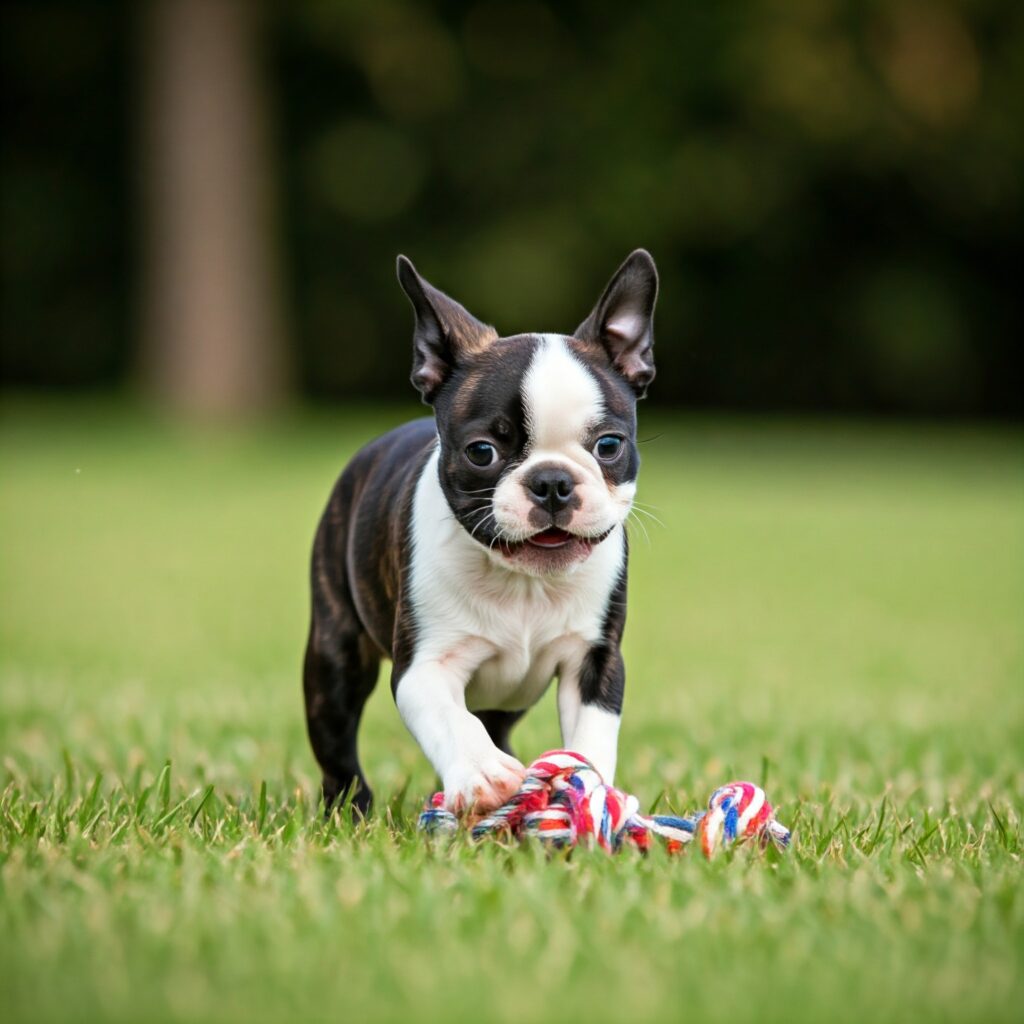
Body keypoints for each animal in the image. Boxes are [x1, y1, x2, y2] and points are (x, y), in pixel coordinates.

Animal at [301, 251, 655, 819]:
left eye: (608, 445)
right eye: (482, 452)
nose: (552, 482)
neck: (525, 582)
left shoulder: (596, 660)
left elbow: (592, 736)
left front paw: (591, 793)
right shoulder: (424, 667)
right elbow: (451, 720)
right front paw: (481, 772)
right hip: (335, 658)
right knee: (338, 744)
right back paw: (349, 809)